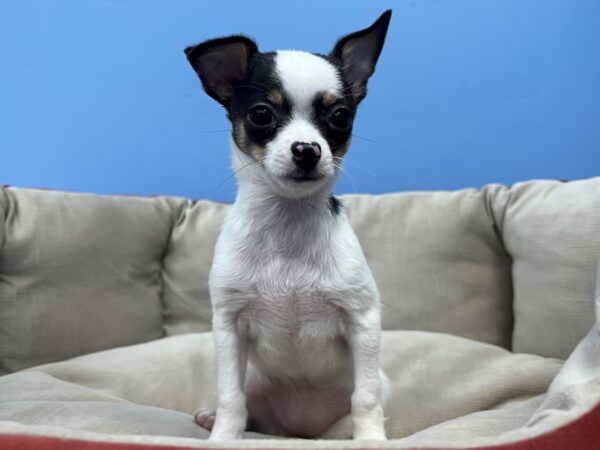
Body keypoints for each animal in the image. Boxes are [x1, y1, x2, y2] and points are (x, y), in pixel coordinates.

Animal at [188, 9, 394, 440]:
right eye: (261, 114)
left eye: (340, 117)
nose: (307, 149)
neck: (288, 222)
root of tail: (300, 431)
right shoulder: (228, 329)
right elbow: (230, 397)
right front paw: (223, 437)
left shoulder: (364, 323)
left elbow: (366, 398)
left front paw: (371, 439)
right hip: (254, 380)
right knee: (248, 406)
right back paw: (213, 418)